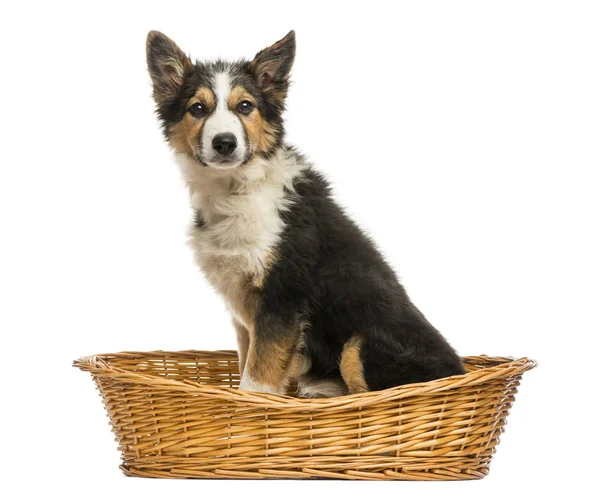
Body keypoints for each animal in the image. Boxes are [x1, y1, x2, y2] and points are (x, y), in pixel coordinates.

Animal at [145, 30, 464, 396]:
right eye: (197, 109)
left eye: (245, 106)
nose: (224, 143)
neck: (236, 191)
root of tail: (458, 370)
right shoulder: (245, 311)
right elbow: (246, 364)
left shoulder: (283, 298)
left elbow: (256, 381)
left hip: (359, 345)